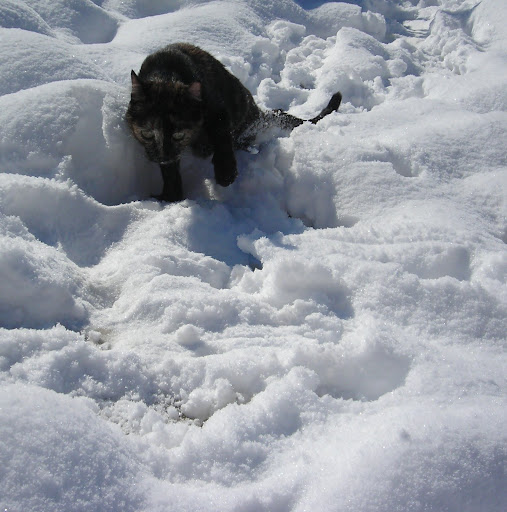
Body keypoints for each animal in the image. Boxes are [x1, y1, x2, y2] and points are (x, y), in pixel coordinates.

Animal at [127, 42, 344, 202]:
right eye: (146, 134)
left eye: (178, 135)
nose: (163, 156)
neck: (166, 73)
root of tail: (257, 112)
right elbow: (170, 172)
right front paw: (170, 196)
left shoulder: (218, 111)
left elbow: (221, 138)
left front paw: (226, 173)